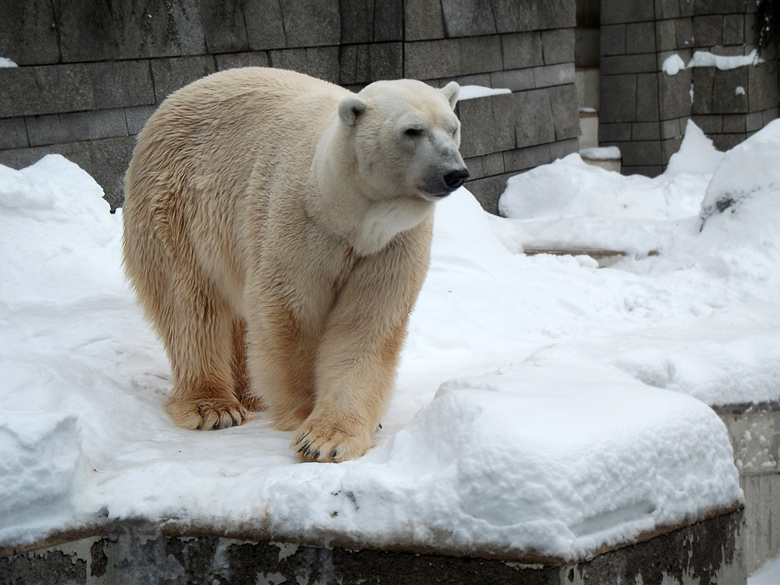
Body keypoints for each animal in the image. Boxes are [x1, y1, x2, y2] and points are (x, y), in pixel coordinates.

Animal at [122, 67, 470, 460]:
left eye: (453, 127)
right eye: (412, 130)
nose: (454, 172)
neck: (344, 211)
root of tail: (167, 104)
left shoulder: (391, 246)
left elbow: (366, 325)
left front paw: (329, 439)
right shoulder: (299, 224)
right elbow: (290, 316)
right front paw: (303, 415)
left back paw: (248, 395)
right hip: (174, 203)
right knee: (190, 305)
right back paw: (212, 406)